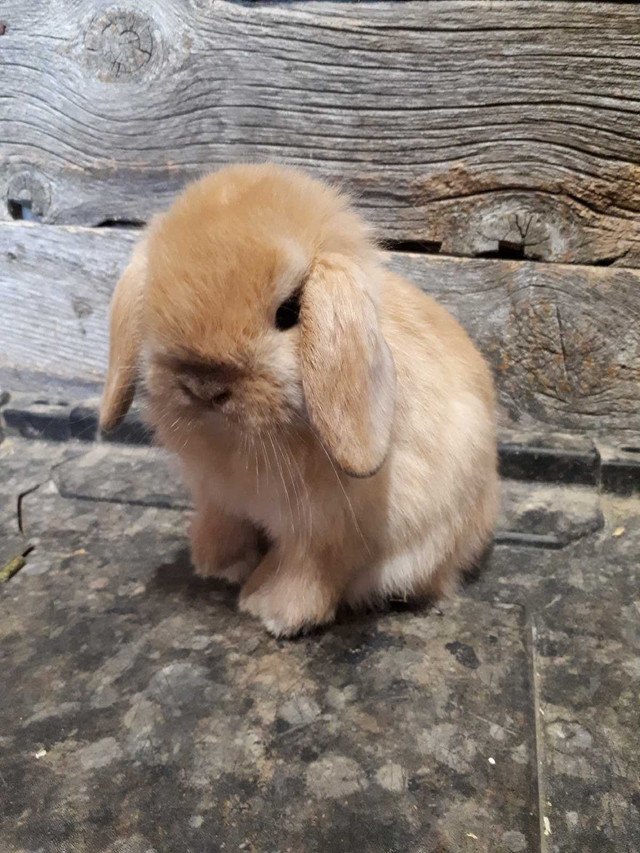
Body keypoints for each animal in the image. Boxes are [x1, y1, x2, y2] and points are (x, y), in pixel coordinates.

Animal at [100, 163, 500, 636]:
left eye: (289, 311)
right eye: (155, 297)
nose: (204, 386)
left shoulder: (327, 528)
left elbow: (307, 569)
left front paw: (272, 610)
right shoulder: (218, 498)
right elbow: (224, 524)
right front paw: (216, 565)